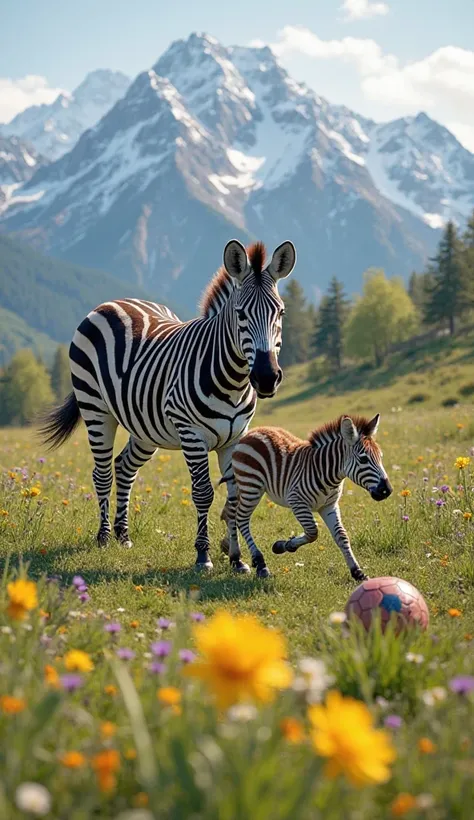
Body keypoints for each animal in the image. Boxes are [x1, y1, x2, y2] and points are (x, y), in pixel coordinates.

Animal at [39, 237, 296, 572]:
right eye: (240, 314)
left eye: (281, 313)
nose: (266, 378)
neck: (233, 381)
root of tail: (114, 302)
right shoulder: (191, 434)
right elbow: (203, 493)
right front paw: (203, 555)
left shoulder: (235, 438)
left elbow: (234, 497)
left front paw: (237, 560)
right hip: (96, 408)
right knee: (102, 473)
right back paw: (104, 536)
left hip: (146, 428)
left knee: (124, 467)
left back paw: (123, 535)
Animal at [222, 414, 392, 580]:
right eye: (363, 459)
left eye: (381, 457)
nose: (387, 490)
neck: (327, 474)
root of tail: (251, 432)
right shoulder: (297, 501)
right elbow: (312, 532)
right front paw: (284, 545)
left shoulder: (329, 506)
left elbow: (342, 536)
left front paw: (357, 572)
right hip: (251, 486)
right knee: (241, 519)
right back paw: (260, 563)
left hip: (245, 487)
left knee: (231, 514)